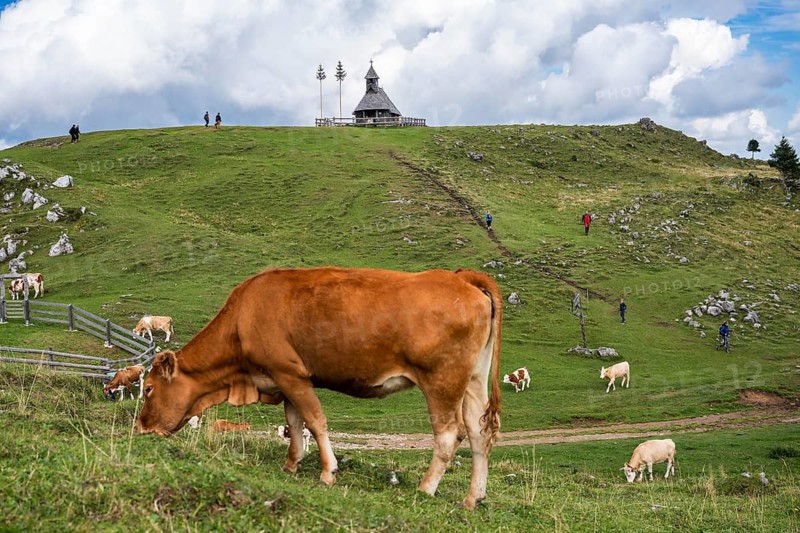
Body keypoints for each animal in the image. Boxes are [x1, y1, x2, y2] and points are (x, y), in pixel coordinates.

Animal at [138, 267, 503, 509]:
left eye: (150, 388)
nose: (141, 427)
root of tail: (460, 277)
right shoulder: (287, 379)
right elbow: (295, 421)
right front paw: (291, 463)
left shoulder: (289, 372)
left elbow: (315, 420)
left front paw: (328, 472)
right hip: (472, 381)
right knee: (479, 433)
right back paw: (473, 497)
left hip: (442, 381)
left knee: (449, 434)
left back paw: (426, 488)